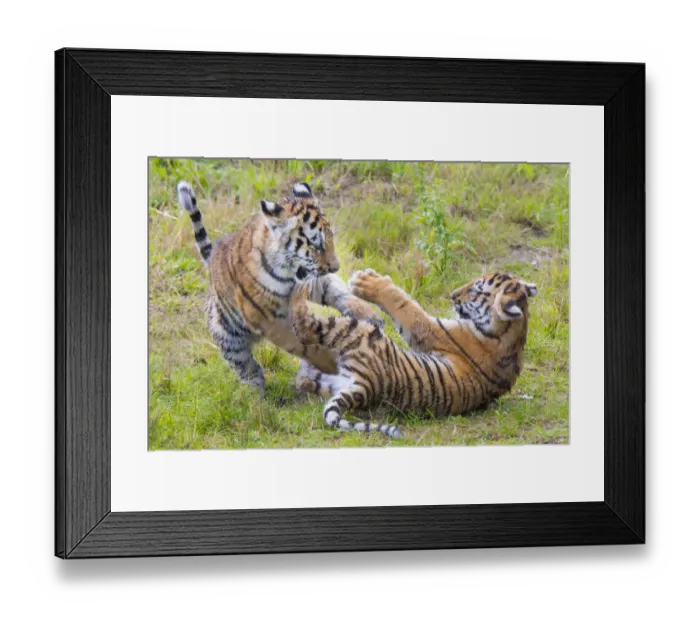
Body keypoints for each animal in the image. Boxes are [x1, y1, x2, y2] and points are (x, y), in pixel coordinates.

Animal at [177, 180, 382, 395]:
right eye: (316, 245)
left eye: (332, 238)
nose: (336, 267)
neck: (289, 272)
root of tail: (212, 258)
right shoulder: (267, 319)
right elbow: (301, 345)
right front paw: (331, 362)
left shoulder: (312, 281)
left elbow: (337, 291)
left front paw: (368, 314)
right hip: (230, 340)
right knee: (248, 369)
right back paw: (254, 397)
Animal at [290, 268, 538, 439]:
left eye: (477, 289)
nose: (453, 295)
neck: (514, 332)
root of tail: (366, 388)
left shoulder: (429, 329)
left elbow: (404, 304)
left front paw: (367, 281)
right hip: (328, 381)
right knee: (303, 379)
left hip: (359, 331)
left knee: (308, 324)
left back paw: (298, 295)